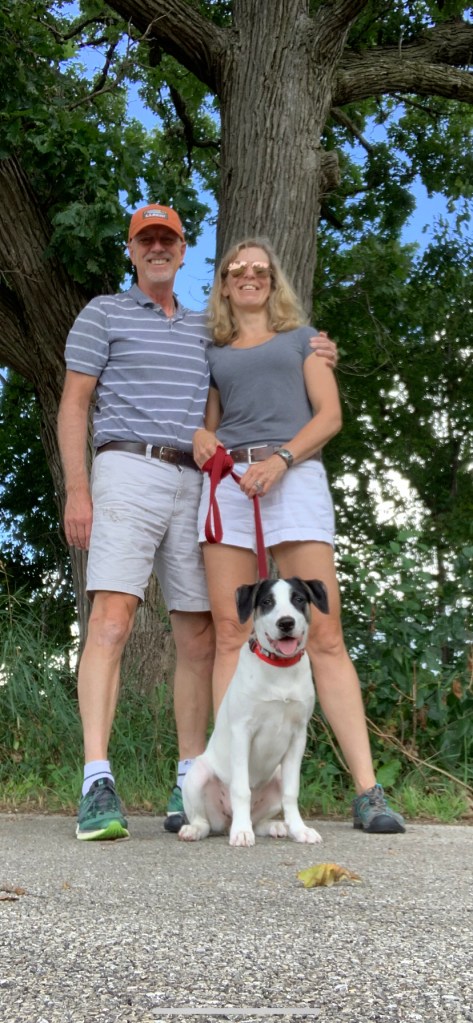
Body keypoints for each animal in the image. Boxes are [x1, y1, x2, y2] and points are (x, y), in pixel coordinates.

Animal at [178, 576, 329, 848]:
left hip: (276, 776)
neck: (280, 669)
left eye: (298, 599)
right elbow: (241, 789)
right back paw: (200, 829)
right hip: (198, 775)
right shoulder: (242, 733)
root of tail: (225, 820)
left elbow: (291, 792)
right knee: (204, 821)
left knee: (259, 821)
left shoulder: (298, 737)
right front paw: (241, 832)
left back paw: (275, 826)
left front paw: (300, 829)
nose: (286, 623)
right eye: (267, 602)